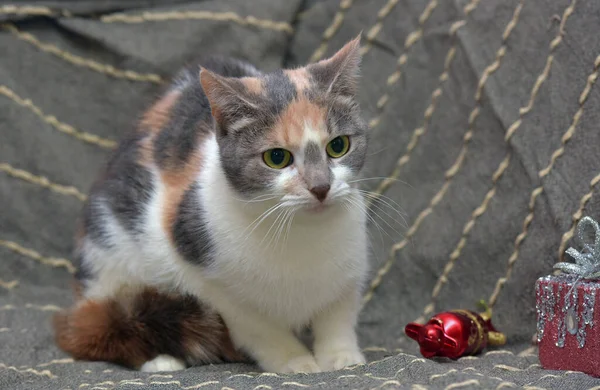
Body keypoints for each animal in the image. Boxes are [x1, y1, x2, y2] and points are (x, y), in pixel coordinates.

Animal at [54, 37, 370, 374]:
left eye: (338, 146)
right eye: (277, 157)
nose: (321, 187)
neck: (301, 234)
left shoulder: (350, 266)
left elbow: (338, 314)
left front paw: (341, 357)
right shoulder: (202, 273)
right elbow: (260, 327)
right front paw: (295, 361)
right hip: (110, 258)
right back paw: (161, 360)